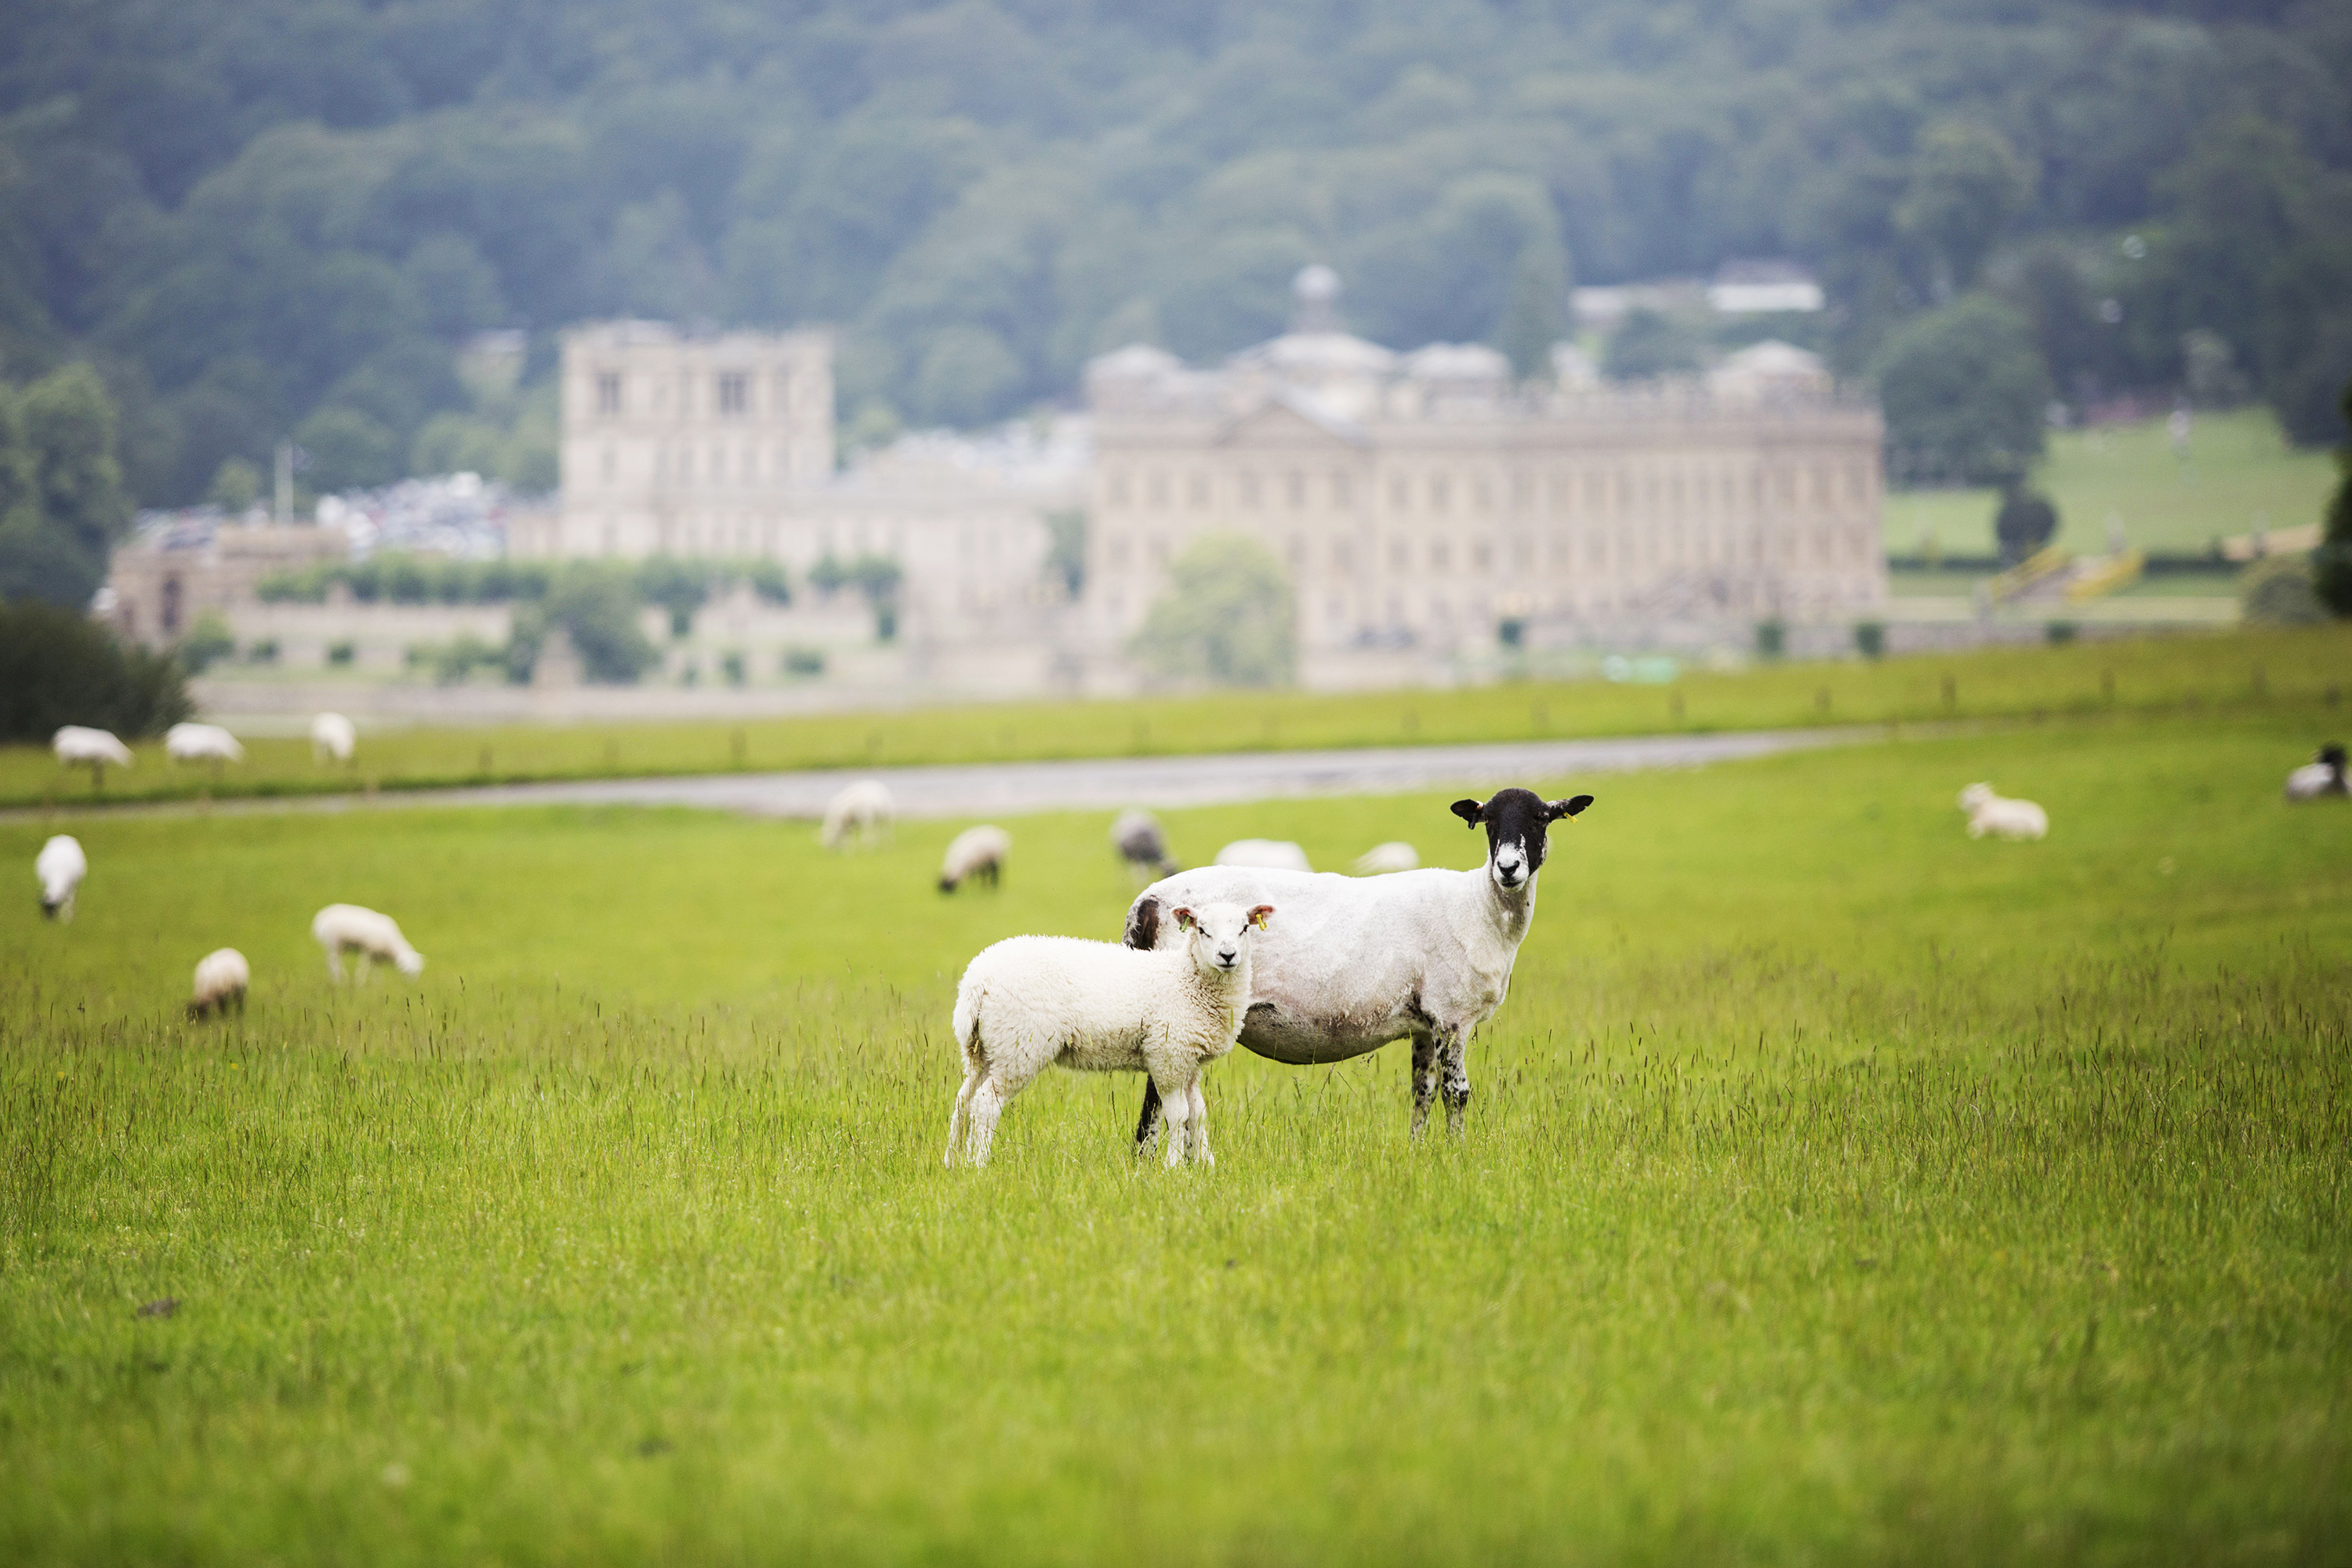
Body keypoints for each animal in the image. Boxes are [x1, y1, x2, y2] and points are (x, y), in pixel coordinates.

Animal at [311, 903, 425, 982]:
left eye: (418, 971)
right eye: (407, 969)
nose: (411, 984)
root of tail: (321, 917)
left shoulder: (378, 957)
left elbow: (377, 973)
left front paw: (377, 985)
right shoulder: (367, 950)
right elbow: (364, 968)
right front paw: (360, 982)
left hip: (335, 947)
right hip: (334, 943)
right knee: (334, 964)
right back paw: (339, 980)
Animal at [947, 901, 1274, 1168]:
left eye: (1245, 928)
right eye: (1202, 930)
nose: (1228, 955)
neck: (1186, 978)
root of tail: (976, 981)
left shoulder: (1189, 1061)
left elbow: (1198, 1114)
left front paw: (1207, 1166)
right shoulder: (1168, 1055)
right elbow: (1178, 1115)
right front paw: (1175, 1167)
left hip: (985, 1048)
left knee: (964, 1099)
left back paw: (955, 1162)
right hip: (1019, 1046)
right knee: (986, 1103)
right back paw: (979, 1162)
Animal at [1125, 787, 1593, 1146]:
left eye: (1541, 818)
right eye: (1489, 821)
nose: (1508, 868)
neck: (1478, 906)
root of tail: (1146, 901)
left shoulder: (1425, 1023)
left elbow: (1423, 1091)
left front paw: (1418, 1152)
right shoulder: (1453, 1015)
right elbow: (1457, 1094)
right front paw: (1460, 1154)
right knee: (1156, 1102)